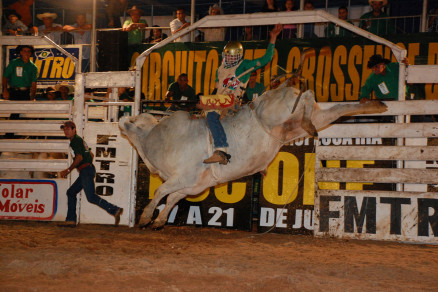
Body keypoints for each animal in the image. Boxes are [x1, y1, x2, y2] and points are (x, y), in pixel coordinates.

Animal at [118, 85, 384, 229]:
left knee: (308, 93)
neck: (159, 139)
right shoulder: (194, 184)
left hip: (276, 113)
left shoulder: (184, 176)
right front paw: (159, 220)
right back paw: (373, 105)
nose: (123, 120)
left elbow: (161, 192)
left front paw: (145, 217)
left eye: (135, 121)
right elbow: (173, 198)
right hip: (300, 121)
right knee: (332, 110)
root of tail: (286, 89)